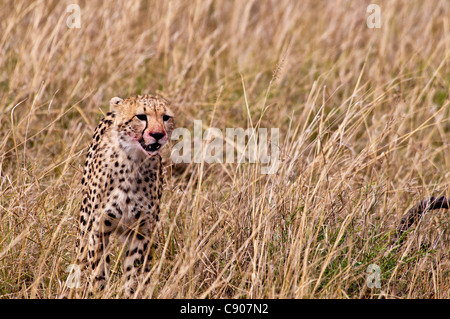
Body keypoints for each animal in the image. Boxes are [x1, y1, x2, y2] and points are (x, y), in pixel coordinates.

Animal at [74, 93, 173, 298]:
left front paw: (132, 292)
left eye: (166, 117)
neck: (134, 162)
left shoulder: (142, 231)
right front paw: (98, 291)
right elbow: (98, 268)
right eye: (141, 116)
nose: (158, 134)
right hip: (85, 224)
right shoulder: (99, 228)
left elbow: (134, 270)